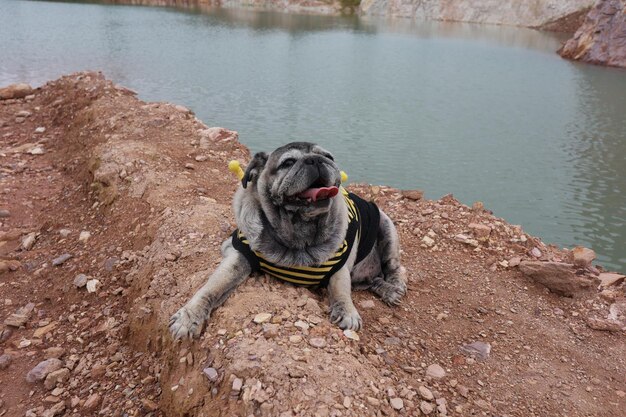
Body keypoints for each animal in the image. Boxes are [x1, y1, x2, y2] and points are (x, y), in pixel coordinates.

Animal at [168, 141, 408, 340]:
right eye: (288, 162)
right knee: (370, 280)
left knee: (392, 267)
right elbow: (211, 287)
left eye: (328, 156)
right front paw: (189, 316)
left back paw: (393, 287)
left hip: (386, 227)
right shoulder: (237, 255)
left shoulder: (340, 266)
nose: (316, 160)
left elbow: (341, 289)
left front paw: (347, 311)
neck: (299, 229)